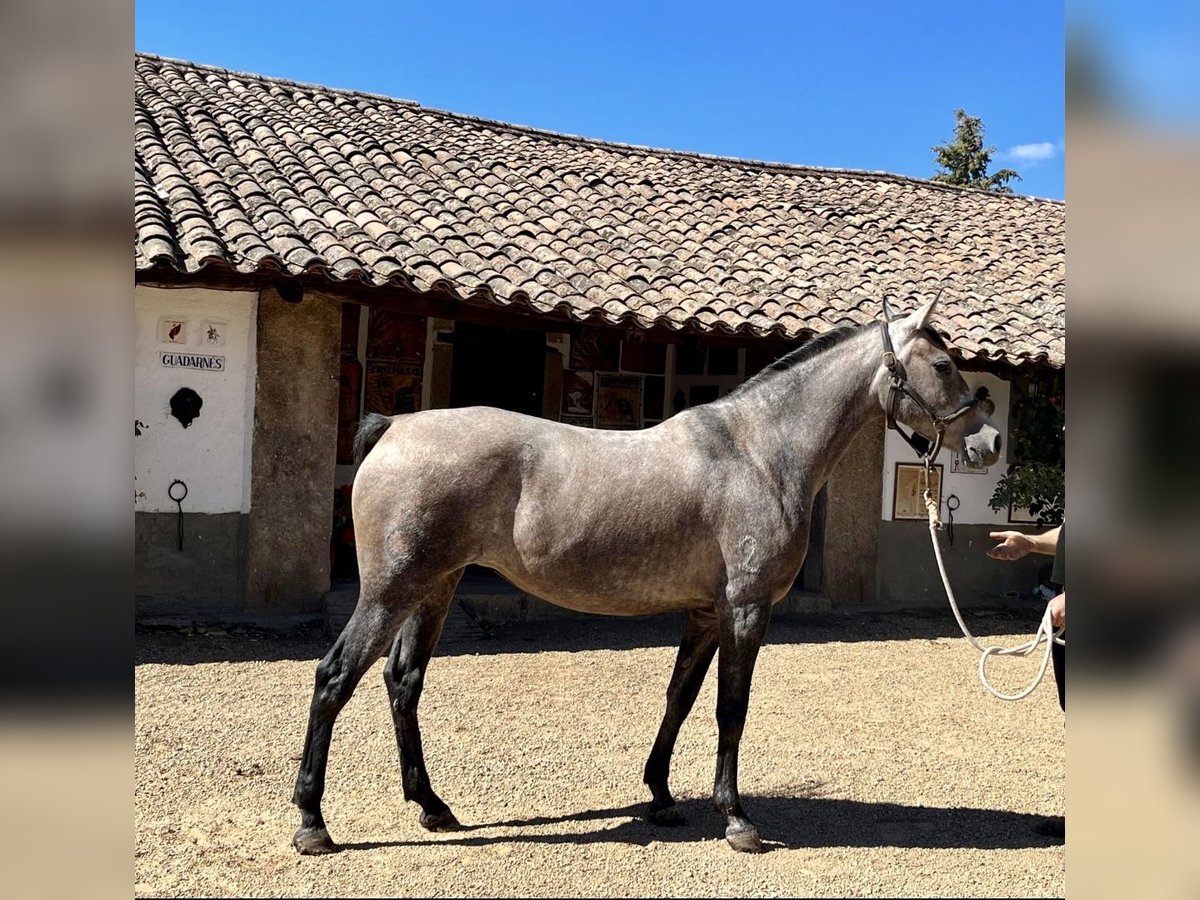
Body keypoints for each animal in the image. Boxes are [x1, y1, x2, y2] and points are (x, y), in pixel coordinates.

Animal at [292, 300, 1003, 854]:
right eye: (943, 365)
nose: (989, 442)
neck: (759, 452)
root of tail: (394, 427)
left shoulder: (708, 612)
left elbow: (679, 699)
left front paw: (661, 795)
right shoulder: (746, 610)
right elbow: (730, 709)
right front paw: (736, 819)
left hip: (434, 588)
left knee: (402, 682)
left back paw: (433, 806)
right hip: (392, 592)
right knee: (335, 678)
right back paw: (312, 823)